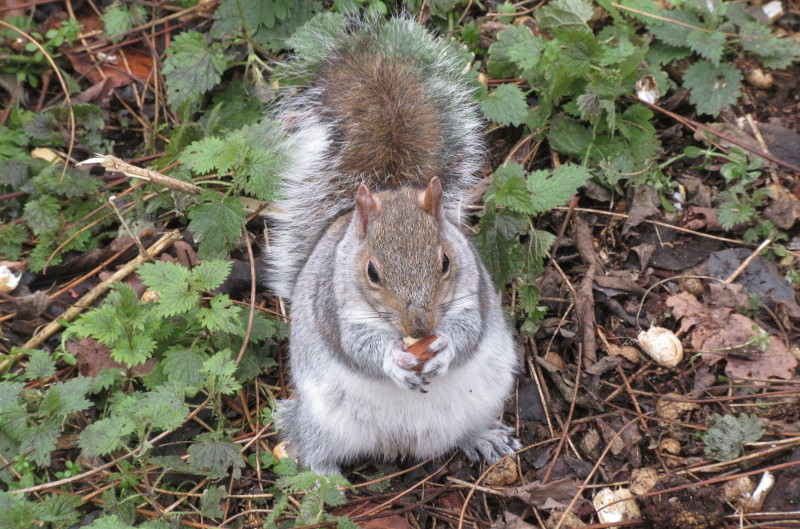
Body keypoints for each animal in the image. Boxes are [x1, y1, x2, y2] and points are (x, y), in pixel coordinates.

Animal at [266, 16, 520, 474]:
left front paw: (443, 350)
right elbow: (360, 349)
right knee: (310, 446)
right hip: (324, 420)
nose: (419, 327)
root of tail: (401, 445)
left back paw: (485, 438)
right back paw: (324, 477)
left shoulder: (474, 292)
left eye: (445, 261)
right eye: (372, 271)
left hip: (484, 395)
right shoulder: (336, 308)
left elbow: (467, 333)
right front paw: (395, 363)